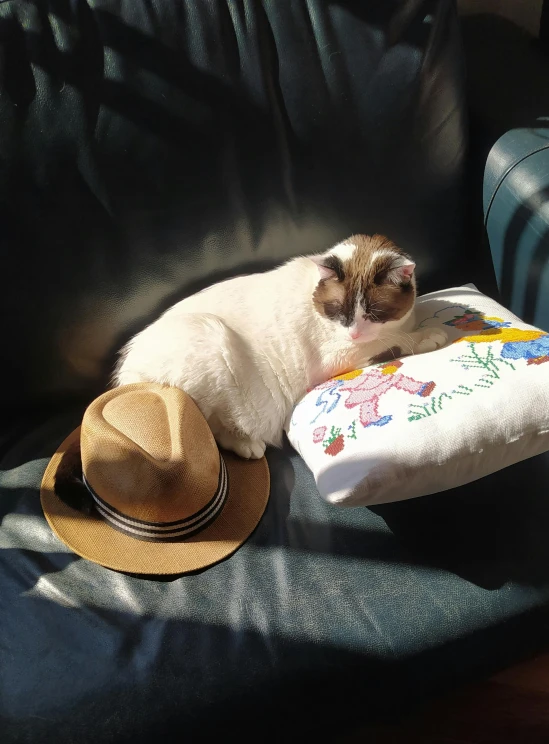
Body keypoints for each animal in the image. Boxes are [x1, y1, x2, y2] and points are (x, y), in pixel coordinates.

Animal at [112, 235, 446, 462]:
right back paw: (249, 446)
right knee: (208, 429)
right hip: (213, 337)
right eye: (339, 311)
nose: (353, 333)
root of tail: (126, 377)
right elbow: (396, 342)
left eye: (375, 313)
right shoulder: (340, 353)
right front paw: (431, 335)